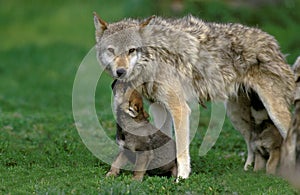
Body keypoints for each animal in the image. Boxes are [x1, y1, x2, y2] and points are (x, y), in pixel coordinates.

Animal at [92, 12, 294, 179]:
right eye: (111, 50)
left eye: (131, 50)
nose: (120, 72)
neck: (153, 58)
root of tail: (272, 41)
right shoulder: (159, 107)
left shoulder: (179, 108)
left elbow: (181, 150)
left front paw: (181, 178)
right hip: (238, 118)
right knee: (252, 145)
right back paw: (248, 170)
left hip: (275, 114)